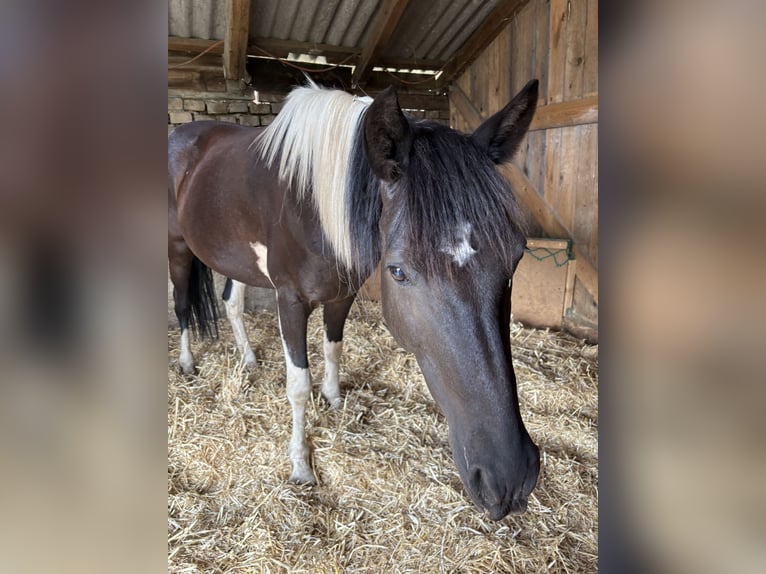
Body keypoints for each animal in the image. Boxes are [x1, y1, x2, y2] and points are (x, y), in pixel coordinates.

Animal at [168, 78, 540, 520]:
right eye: (398, 271)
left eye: (516, 257)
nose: (509, 478)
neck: (313, 205)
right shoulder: (289, 301)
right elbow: (298, 384)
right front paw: (300, 465)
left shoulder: (341, 294)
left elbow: (333, 348)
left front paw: (334, 399)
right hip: (177, 248)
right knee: (182, 305)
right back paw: (187, 362)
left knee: (231, 304)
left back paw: (249, 360)